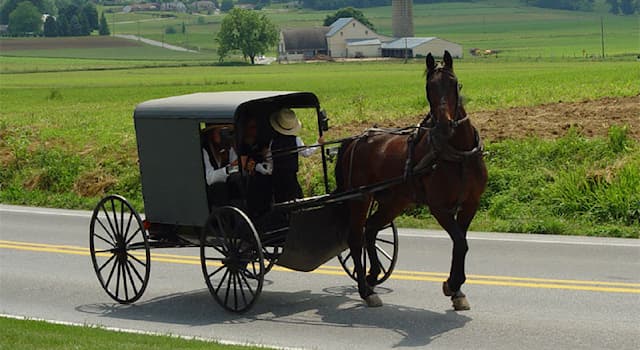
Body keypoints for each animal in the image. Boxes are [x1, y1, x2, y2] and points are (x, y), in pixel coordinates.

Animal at [336, 51, 484, 308]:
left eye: (454, 83)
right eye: (428, 87)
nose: (444, 126)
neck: (459, 155)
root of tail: (355, 140)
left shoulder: (470, 204)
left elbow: (461, 243)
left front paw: (456, 290)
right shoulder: (439, 207)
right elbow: (460, 242)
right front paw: (453, 285)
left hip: (394, 200)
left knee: (370, 229)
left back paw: (373, 275)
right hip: (360, 197)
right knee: (356, 238)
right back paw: (366, 290)